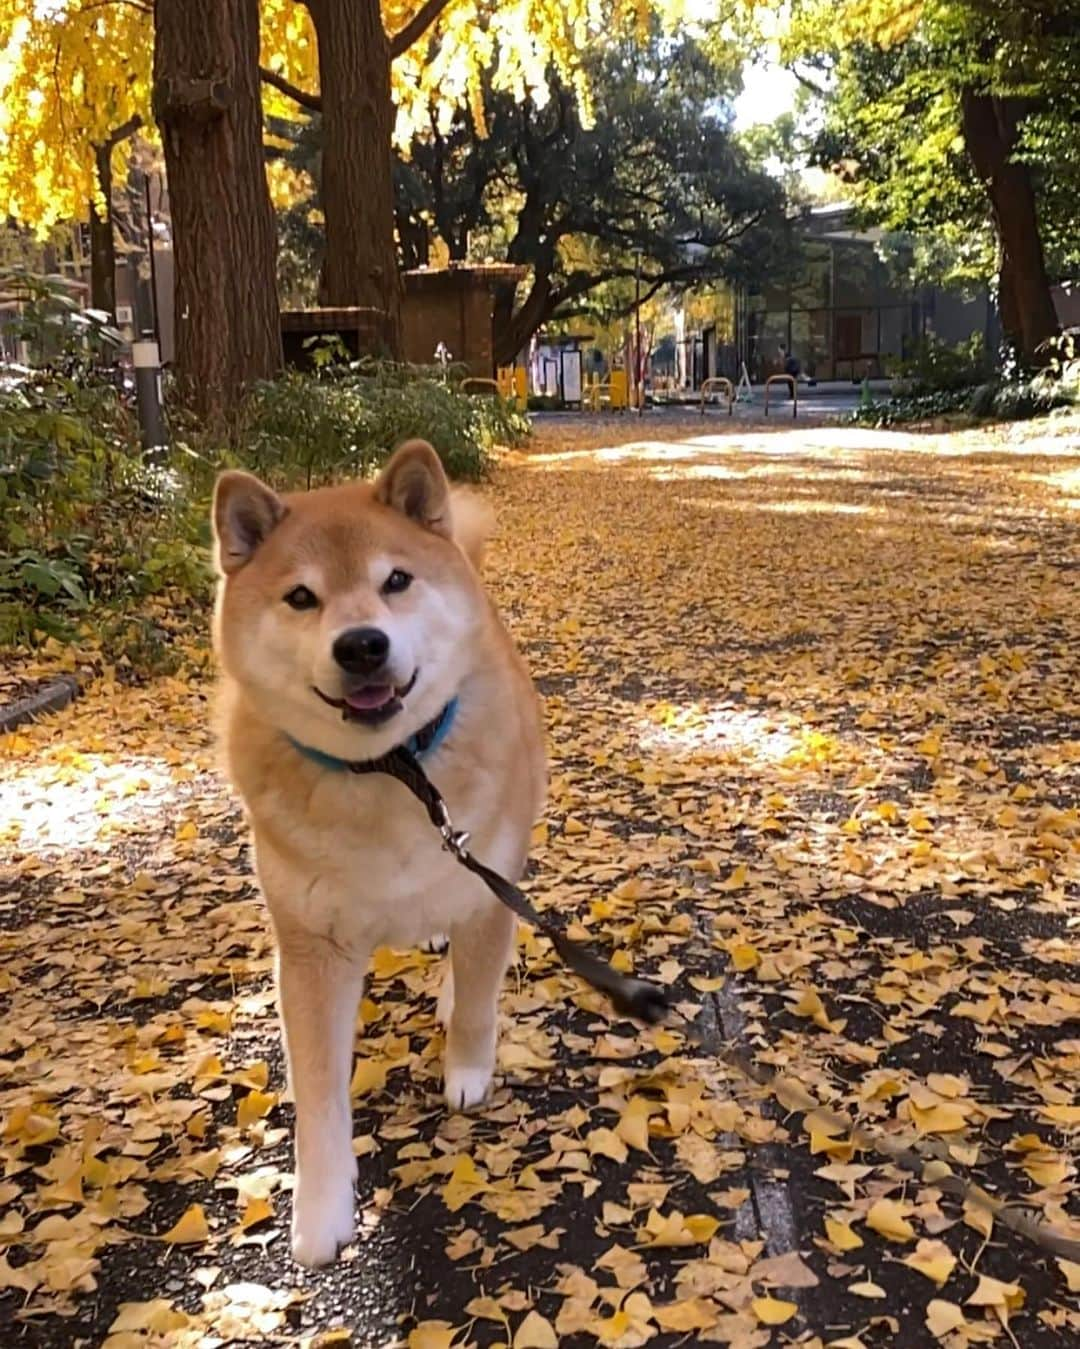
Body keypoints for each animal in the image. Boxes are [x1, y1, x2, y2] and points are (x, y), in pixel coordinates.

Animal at [211, 442, 547, 1262]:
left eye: (395, 580)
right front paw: (321, 1210)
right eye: (301, 597)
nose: (362, 643)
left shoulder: (485, 889)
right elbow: (318, 1095)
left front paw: (467, 1072)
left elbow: (479, 1002)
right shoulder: (310, 947)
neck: (392, 771)